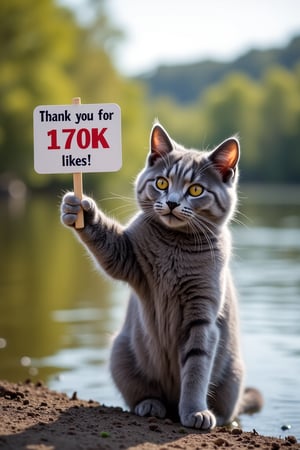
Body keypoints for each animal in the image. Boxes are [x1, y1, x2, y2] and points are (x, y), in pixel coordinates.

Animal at [61, 122, 262, 428]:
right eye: (162, 183)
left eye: (195, 189)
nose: (172, 203)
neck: (174, 246)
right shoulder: (128, 259)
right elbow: (107, 243)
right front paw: (79, 209)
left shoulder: (202, 317)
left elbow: (196, 369)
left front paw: (195, 412)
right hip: (120, 353)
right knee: (145, 394)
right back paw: (150, 405)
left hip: (232, 380)